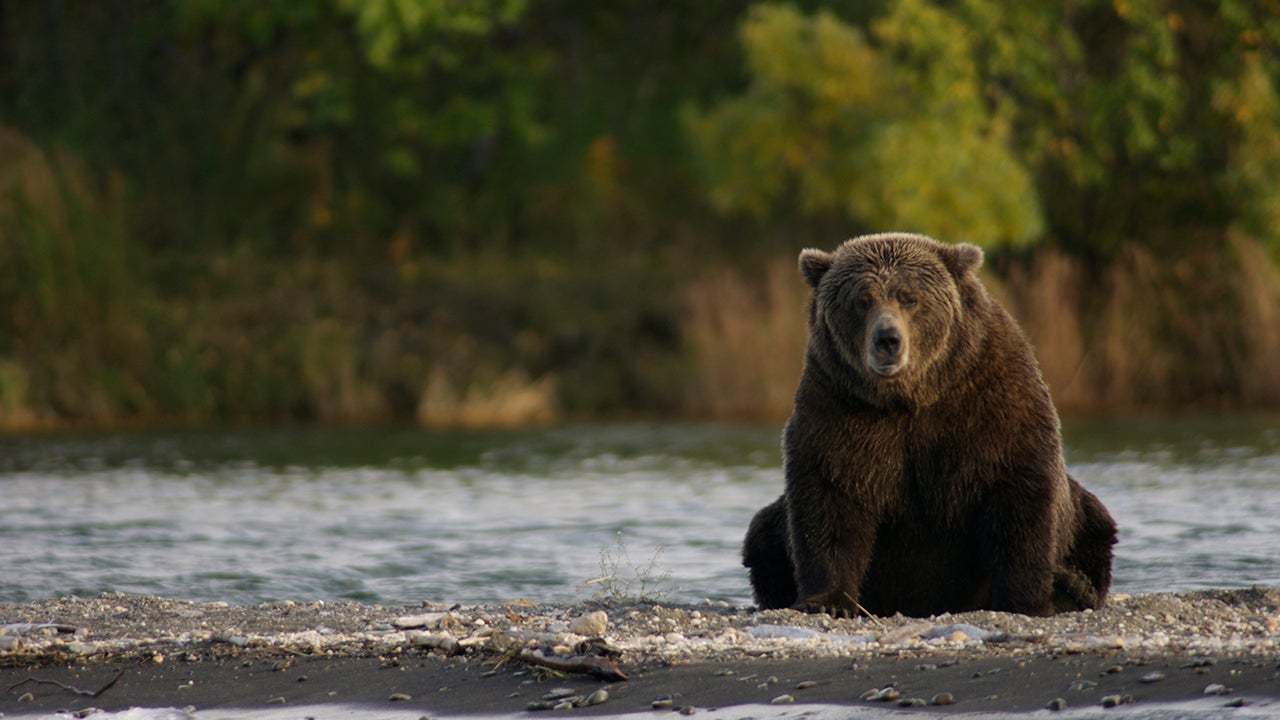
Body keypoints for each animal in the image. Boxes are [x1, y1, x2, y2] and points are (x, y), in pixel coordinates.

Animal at [742, 232, 1117, 618]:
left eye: (910, 297)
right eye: (862, 300)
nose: (887, 339)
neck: (911, 397)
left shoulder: (992, 401)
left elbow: (1018, 496)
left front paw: (1025, 600)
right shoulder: (839, 407)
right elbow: (830, 496)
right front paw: (827, 601)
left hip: (1082, 517)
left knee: (1095, 523)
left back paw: (1072, 587)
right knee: (763, 533)